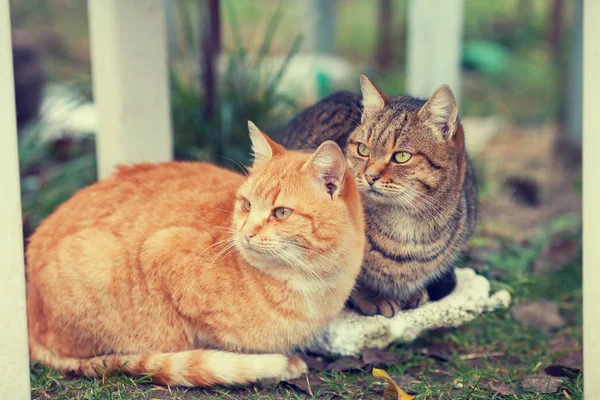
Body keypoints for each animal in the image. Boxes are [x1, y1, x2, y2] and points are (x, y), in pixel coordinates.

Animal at [25, 122, 364, 388]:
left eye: (281, 213)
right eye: (246, 205)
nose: (246, 232)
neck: (313, 285)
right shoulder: (163, 250)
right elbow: (218, 344)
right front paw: (276, 364)